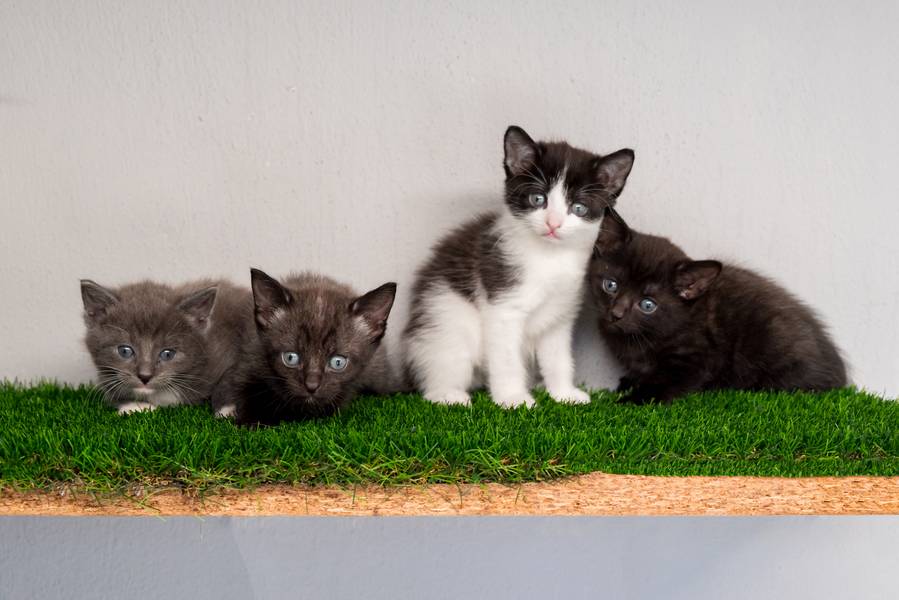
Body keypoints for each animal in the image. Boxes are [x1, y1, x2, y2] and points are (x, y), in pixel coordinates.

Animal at [80, 278, 254, 414]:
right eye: (125, 351)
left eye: (167, 354)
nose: (145, 376)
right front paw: (133, 406)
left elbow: (230, 376)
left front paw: (227, 408)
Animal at [402, 126, 635, 408]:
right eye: (537, 199)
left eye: (578, 207)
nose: (553, 223)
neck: (549, 257)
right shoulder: (503, 305)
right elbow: (506, 359)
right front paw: (513, 399)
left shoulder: (560, 315)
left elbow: (558, 357)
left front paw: (564, 393)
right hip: (443, 318)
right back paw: (448, 394)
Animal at [589, 208, 848, 404]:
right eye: (611, 285)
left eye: (647, 305)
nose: (616, 313)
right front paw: (630, 382)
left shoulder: (697, 359)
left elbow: (665, 383)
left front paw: (630, 400)